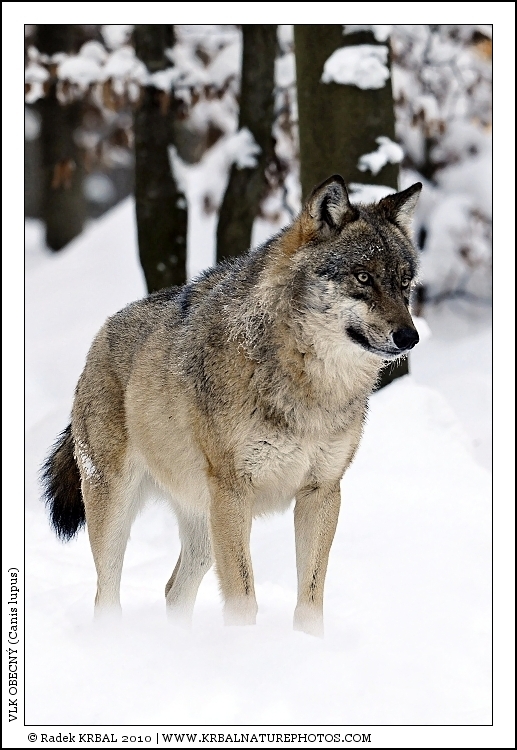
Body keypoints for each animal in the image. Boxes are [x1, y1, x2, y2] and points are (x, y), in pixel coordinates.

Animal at [41, 175, 421, 636]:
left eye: (404, 283)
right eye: (363, 277)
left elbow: (310, 600)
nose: (410, 337)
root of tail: (103, 331)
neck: (310, 387)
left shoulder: (322, 491)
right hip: (119, 505)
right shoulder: (234, 491)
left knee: (173, 590)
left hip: (205, 525)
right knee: (106, 592)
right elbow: (242, 598)